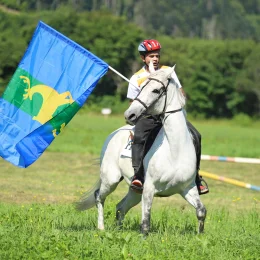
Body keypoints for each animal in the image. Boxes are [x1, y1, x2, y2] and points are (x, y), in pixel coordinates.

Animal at [75, 66, 207, 235]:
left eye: (156, 90)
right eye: (142, 87)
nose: (129, 114)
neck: (174, 150)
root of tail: (114, 133)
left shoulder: (188, 188)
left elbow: (201, 211)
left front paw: (200, 236)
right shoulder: (149, 189)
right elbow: (145, 223)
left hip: (135, 192)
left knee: (120, 207)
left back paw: (118, 230)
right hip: (111, 179)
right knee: (99, 196)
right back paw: (101, 228)